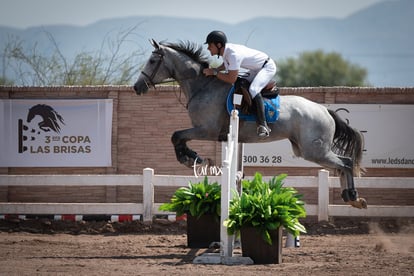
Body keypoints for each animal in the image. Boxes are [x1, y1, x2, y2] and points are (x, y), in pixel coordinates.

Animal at [134, 40, 368, 209]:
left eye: (152, 61)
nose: (137, 87)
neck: (203, 86)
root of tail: (325, 110)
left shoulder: (206, 130)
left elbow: (176, 135)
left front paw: (191, 157)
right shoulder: (208, 132)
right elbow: (177, 136)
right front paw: (191, 156)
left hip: (315, 150)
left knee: (346, 163)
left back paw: (353, 197)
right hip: (305, 149)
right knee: (343, 164)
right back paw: (351, 198)